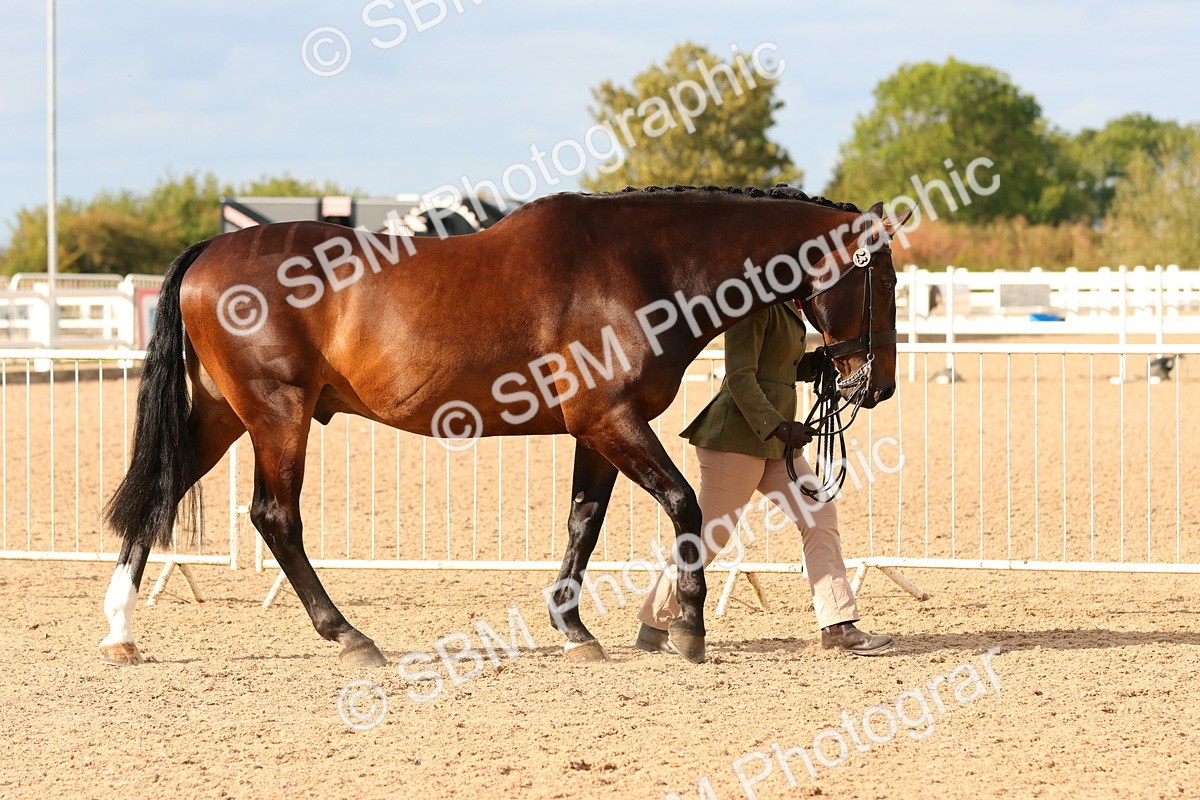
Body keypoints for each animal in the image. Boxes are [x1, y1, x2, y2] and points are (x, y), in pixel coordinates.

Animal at [99, 184, 909, 668]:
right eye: (884, 280)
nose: (878, 386)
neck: (642, 267)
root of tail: (212, 248)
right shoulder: (612, 420)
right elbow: (683, 505)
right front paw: (687, 629)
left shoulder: (598, 429)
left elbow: (583, 521)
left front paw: (575, 630)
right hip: (276, 414)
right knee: (275, 517)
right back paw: (350, 636)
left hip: (221, 415)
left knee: (157, 496)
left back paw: (120, 633)